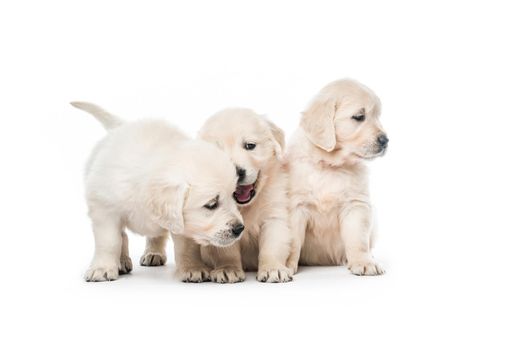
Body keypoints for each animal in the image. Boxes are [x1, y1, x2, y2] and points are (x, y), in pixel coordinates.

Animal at [70, 102, 244, 284]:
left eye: (233, 195)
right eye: (211, 204)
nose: (240, 228)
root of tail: (123, 125)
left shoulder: (183, 223)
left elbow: (187, 246)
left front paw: (192, 268)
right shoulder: (104, 208)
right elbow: (110, 241)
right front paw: (102, 268)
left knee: (155, 235)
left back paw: (153, 253)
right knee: (123, 236)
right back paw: (122, 260)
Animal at [199, 108, 294, 284]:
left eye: (250, 146)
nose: (237, 172)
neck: (246, 206)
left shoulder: (274, 215)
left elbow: (272, 246)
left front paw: (272, 269)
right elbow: (226, 250)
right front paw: (228, 269)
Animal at [288, 79, 390, 276]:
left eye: (378, 116)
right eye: (359, 116)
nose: (385, 140)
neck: (330, 166)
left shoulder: (356, 205)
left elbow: (358, 240)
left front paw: (364, 262)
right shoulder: (296, 206)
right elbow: (292, 241)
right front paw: (284, 264)